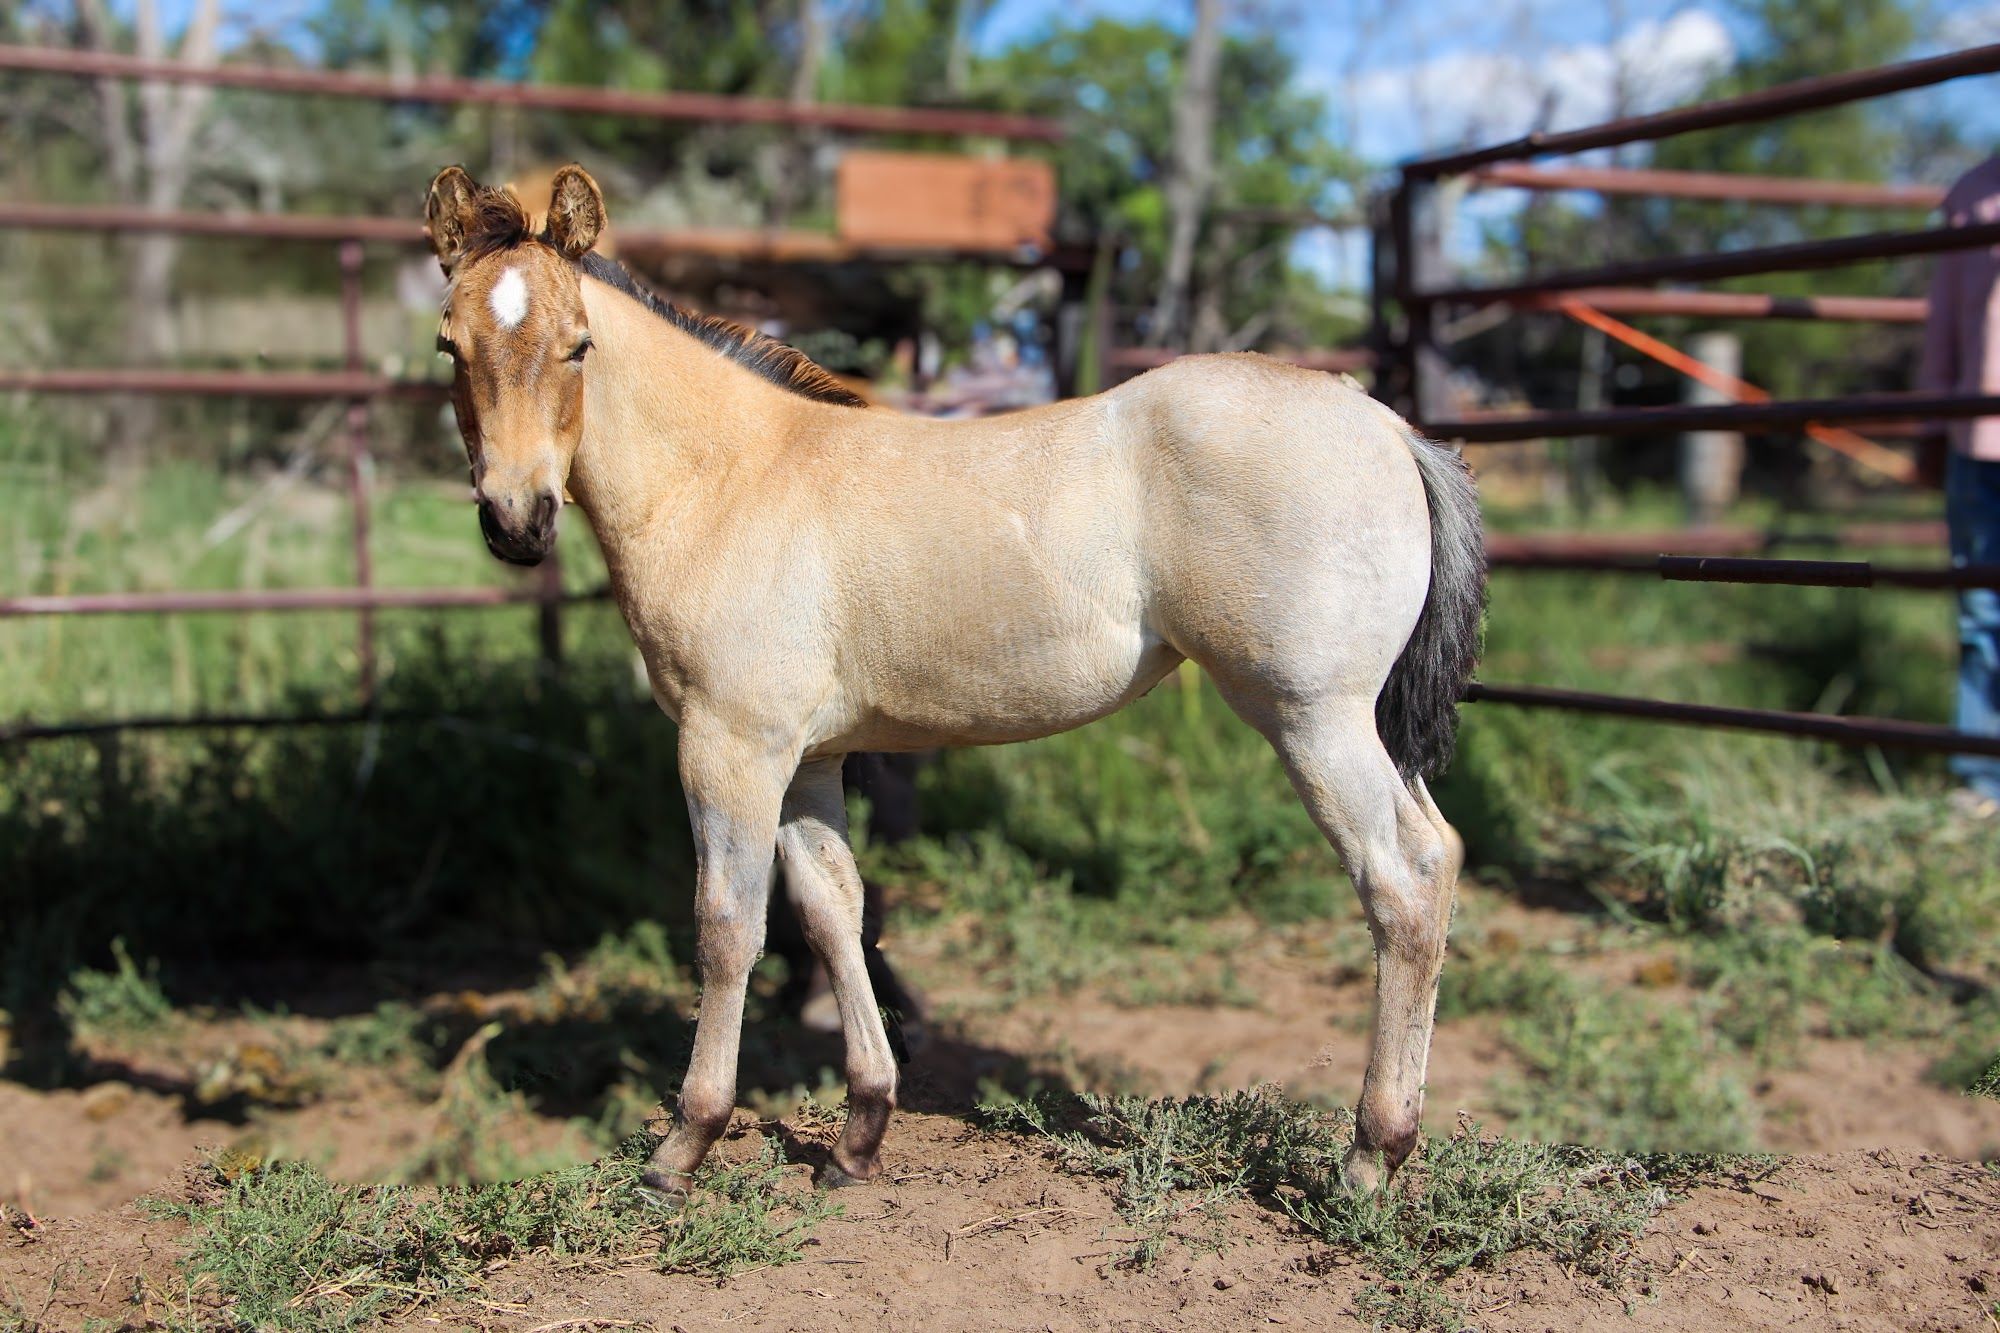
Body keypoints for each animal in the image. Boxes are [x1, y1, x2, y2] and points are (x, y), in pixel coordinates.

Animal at [421, 163, 1485, 1200]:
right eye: (448, 346)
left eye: (579, 346)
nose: (516, 519)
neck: (731, 478)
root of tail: (1390, 426)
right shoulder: (809, 757)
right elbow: (834, 913)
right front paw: (859, 1133)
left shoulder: (730, 745)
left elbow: (727, 926)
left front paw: (684, 1146)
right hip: (1365, 722)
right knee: (1442, 851)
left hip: (1311, 715)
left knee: (1402, 878)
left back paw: (1368, 1158)